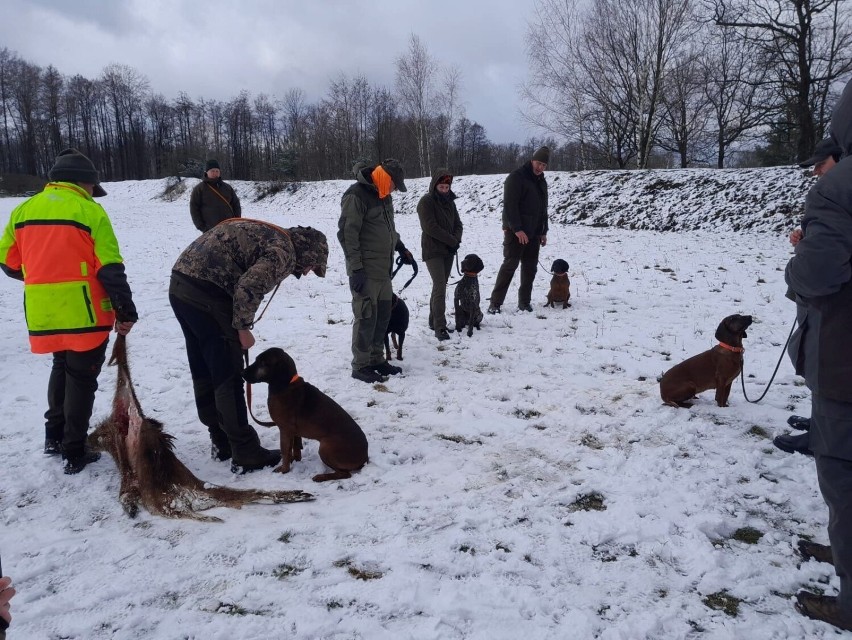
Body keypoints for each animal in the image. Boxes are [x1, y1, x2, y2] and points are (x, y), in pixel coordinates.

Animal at [243, 348, 370, 482]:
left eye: (263, 363)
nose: (242, 372)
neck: (286, 385)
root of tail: (364, 457)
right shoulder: (293, 433)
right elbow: (294, 448)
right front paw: (294, 460)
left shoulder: (285, 430)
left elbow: (285, 452)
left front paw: (284, 469)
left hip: (325, 447)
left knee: (344, 474)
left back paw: (321, 477)